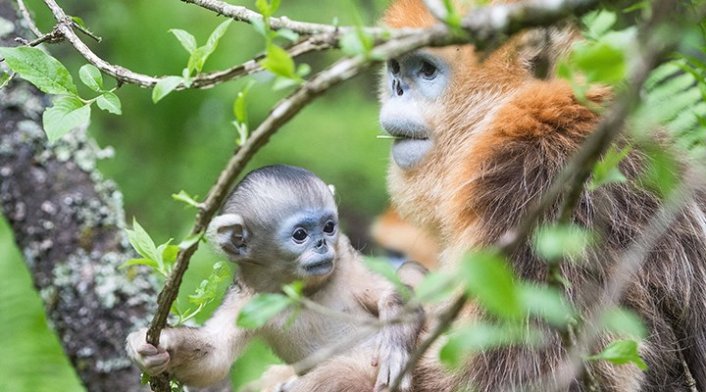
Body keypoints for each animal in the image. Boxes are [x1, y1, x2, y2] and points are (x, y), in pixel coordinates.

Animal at [126, 165, 424, 392]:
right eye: (300, 235)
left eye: (329, 227)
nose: (322, 244)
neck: (302, 292)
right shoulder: (247, 297)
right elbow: (214, 357)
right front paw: (153, 347)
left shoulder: (345, 263)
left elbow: (397, 295)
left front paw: (394, 352)